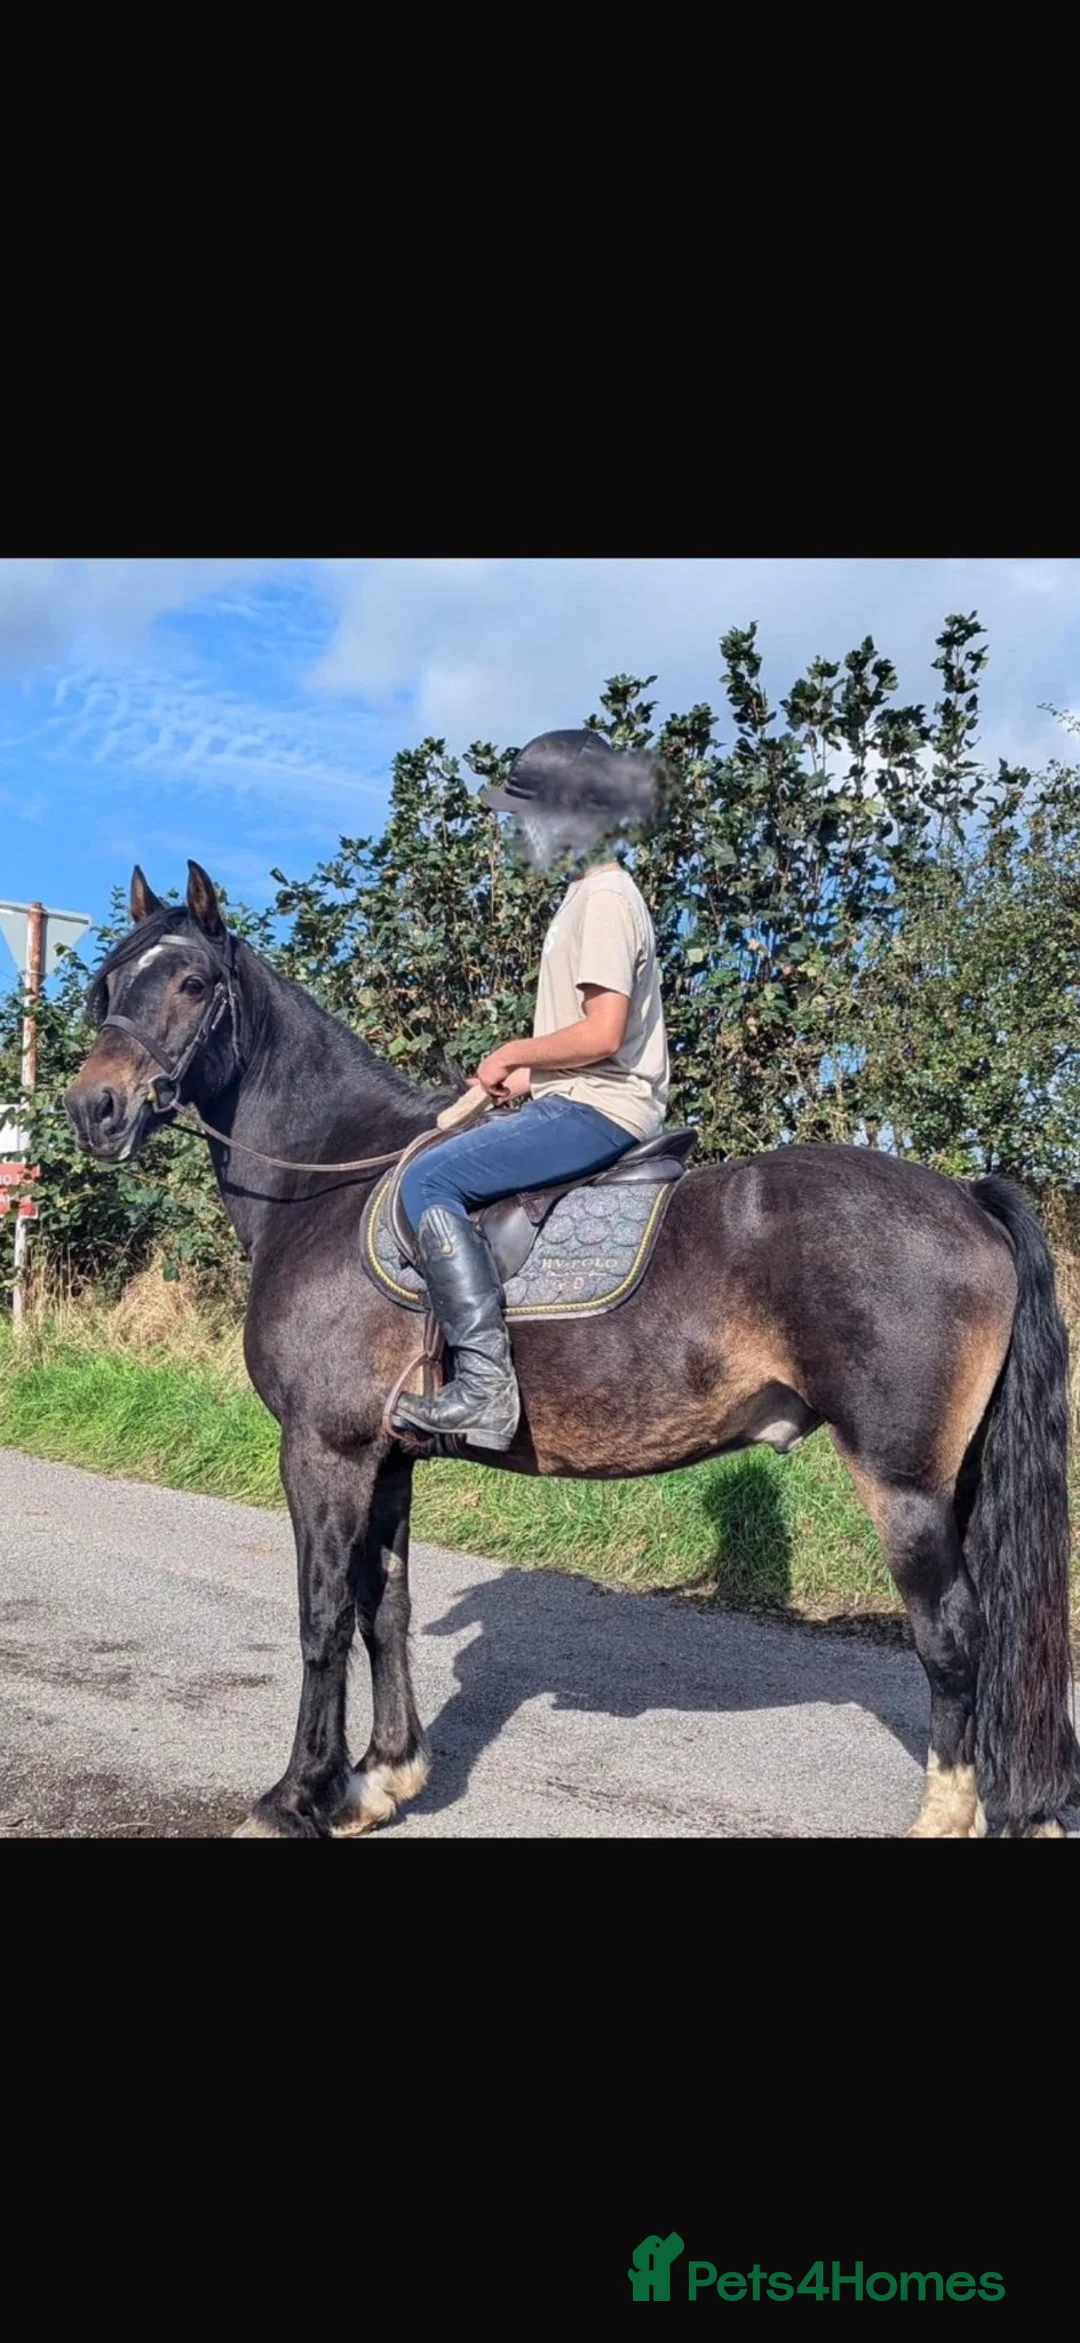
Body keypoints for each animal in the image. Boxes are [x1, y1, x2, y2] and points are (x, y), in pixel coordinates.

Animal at [63, 862, 1080, 1840]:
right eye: (106, 984)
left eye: (193, 983)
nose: (93, 1108)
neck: (332, 1185)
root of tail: (966, 1197)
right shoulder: (385, 1457)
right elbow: (383, 1606)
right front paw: (380, 1780)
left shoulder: (324, 1449)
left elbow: (322, 1614)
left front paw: (294, 1796)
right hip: (959, 1477)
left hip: (905, 1482)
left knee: (953, 1635)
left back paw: (945, 1815)